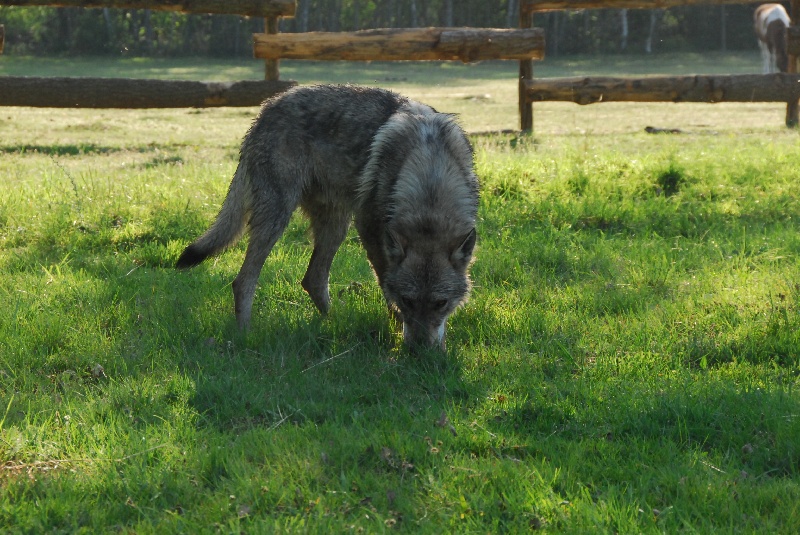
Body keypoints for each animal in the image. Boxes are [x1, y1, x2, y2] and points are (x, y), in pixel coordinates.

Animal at [177, 84, 476, 352]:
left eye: (441, 303)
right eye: (408, 300)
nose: (420, 352)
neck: (430, 176)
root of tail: (267, 107)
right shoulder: (368, 228)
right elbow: (385, 282)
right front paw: (396, 326)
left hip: (336, 225)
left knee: (313, 278)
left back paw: (333, 323)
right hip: (277, 218)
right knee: (244, 282)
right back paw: (244, 337)